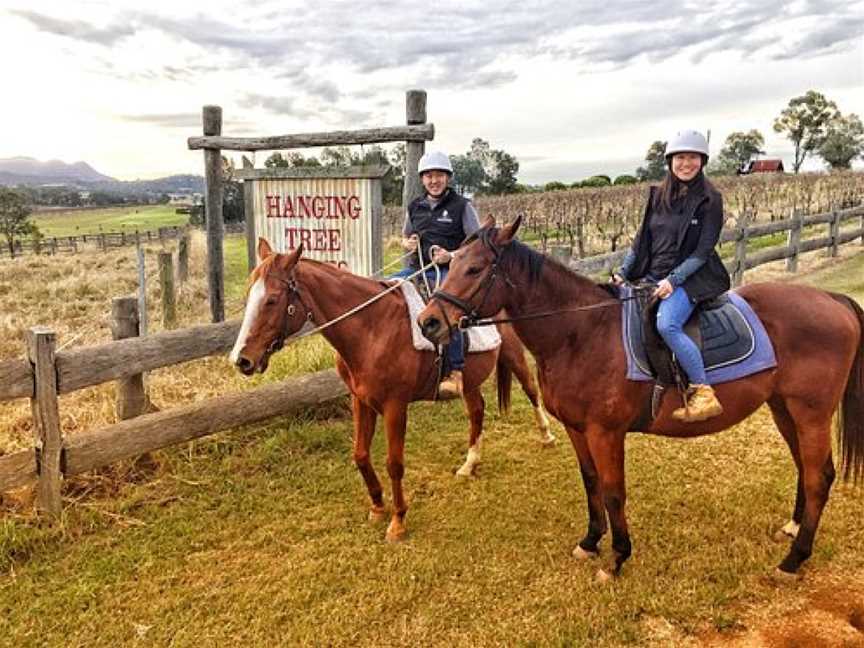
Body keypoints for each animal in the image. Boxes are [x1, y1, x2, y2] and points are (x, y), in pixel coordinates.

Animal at [230, 238, 552, 540]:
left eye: (272, 300)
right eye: (249, 297)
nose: (241, 359)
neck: (372, 329)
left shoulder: (395, 406)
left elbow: (394, 463)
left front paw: (398, 521)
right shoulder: (361, 400)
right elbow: (360, 455)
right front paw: (377, 506)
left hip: (513, 353)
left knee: (531, 391)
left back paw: (547, 435)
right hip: (470, 380)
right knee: (477, 411)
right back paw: (469, 464)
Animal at [416, 216, 860, 576]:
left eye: (474, 268)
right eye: (449, 263)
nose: (428, 322)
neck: (581, 332)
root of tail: (832, 300)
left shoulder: (606, 432)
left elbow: (614, 491)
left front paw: (617, 558)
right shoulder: (577, 429)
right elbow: (591, 482)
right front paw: (590, 542)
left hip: (811, 413)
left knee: (819, 476)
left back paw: (795, 559)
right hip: (784, 407)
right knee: (805, 466)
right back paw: (794, 529)